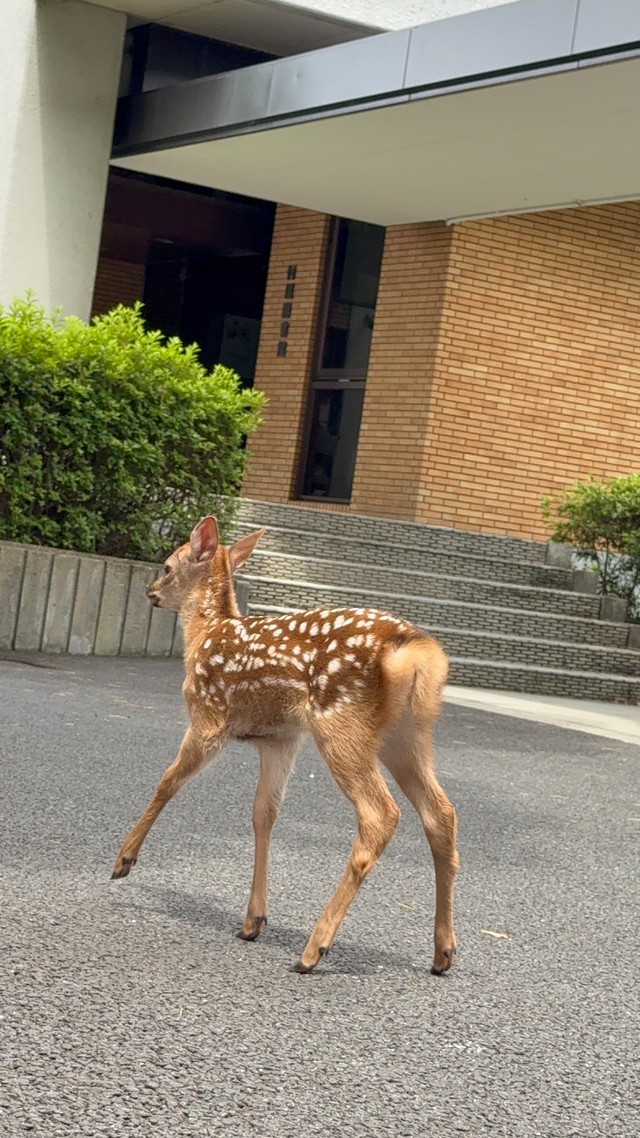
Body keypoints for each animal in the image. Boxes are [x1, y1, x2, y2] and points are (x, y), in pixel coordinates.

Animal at [111, 515, 459, 975]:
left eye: (168, 566)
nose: (150, 591)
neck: (204, 635)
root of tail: (415, 651)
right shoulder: (280, 738)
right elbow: (264, 814)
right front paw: (252, 921)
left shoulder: (208, 718)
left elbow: (167, 782)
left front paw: (123, 861)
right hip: (407, 734)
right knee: (441, 813)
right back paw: (443, 952)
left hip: (341, 723)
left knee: (381, 814)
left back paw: (314, 948)